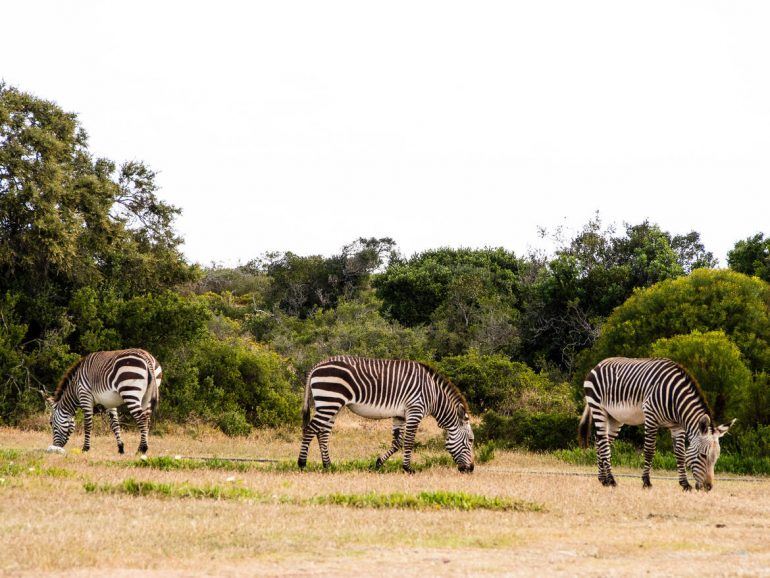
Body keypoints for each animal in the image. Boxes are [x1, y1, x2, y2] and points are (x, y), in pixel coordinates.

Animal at [296, 354, 472, 470]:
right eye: (471, 440)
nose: (471, 469)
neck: (434, 395)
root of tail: (317, 365)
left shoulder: (400, 415)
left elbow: (397, 442)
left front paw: (379, 463)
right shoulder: (415, 410)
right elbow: (409, 441)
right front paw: (408, 469)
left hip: (331, 404)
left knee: (322, 433)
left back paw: (328, 465)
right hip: (329, 401)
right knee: (310, 429)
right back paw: (302, 463)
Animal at [576, 356, 732, 490]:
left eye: (716, 457)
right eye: (703, 455)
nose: (708, 487)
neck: (674, 399)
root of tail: (599, 364)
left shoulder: (677, 426)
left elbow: (680, 454)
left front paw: (685, 484)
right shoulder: (651, 417)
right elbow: (649, 451)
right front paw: (646, 482)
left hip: (615, 418)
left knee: (601, 442)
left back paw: (603, 479)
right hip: (598, 408)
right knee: (603, 444)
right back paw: (612, 480)